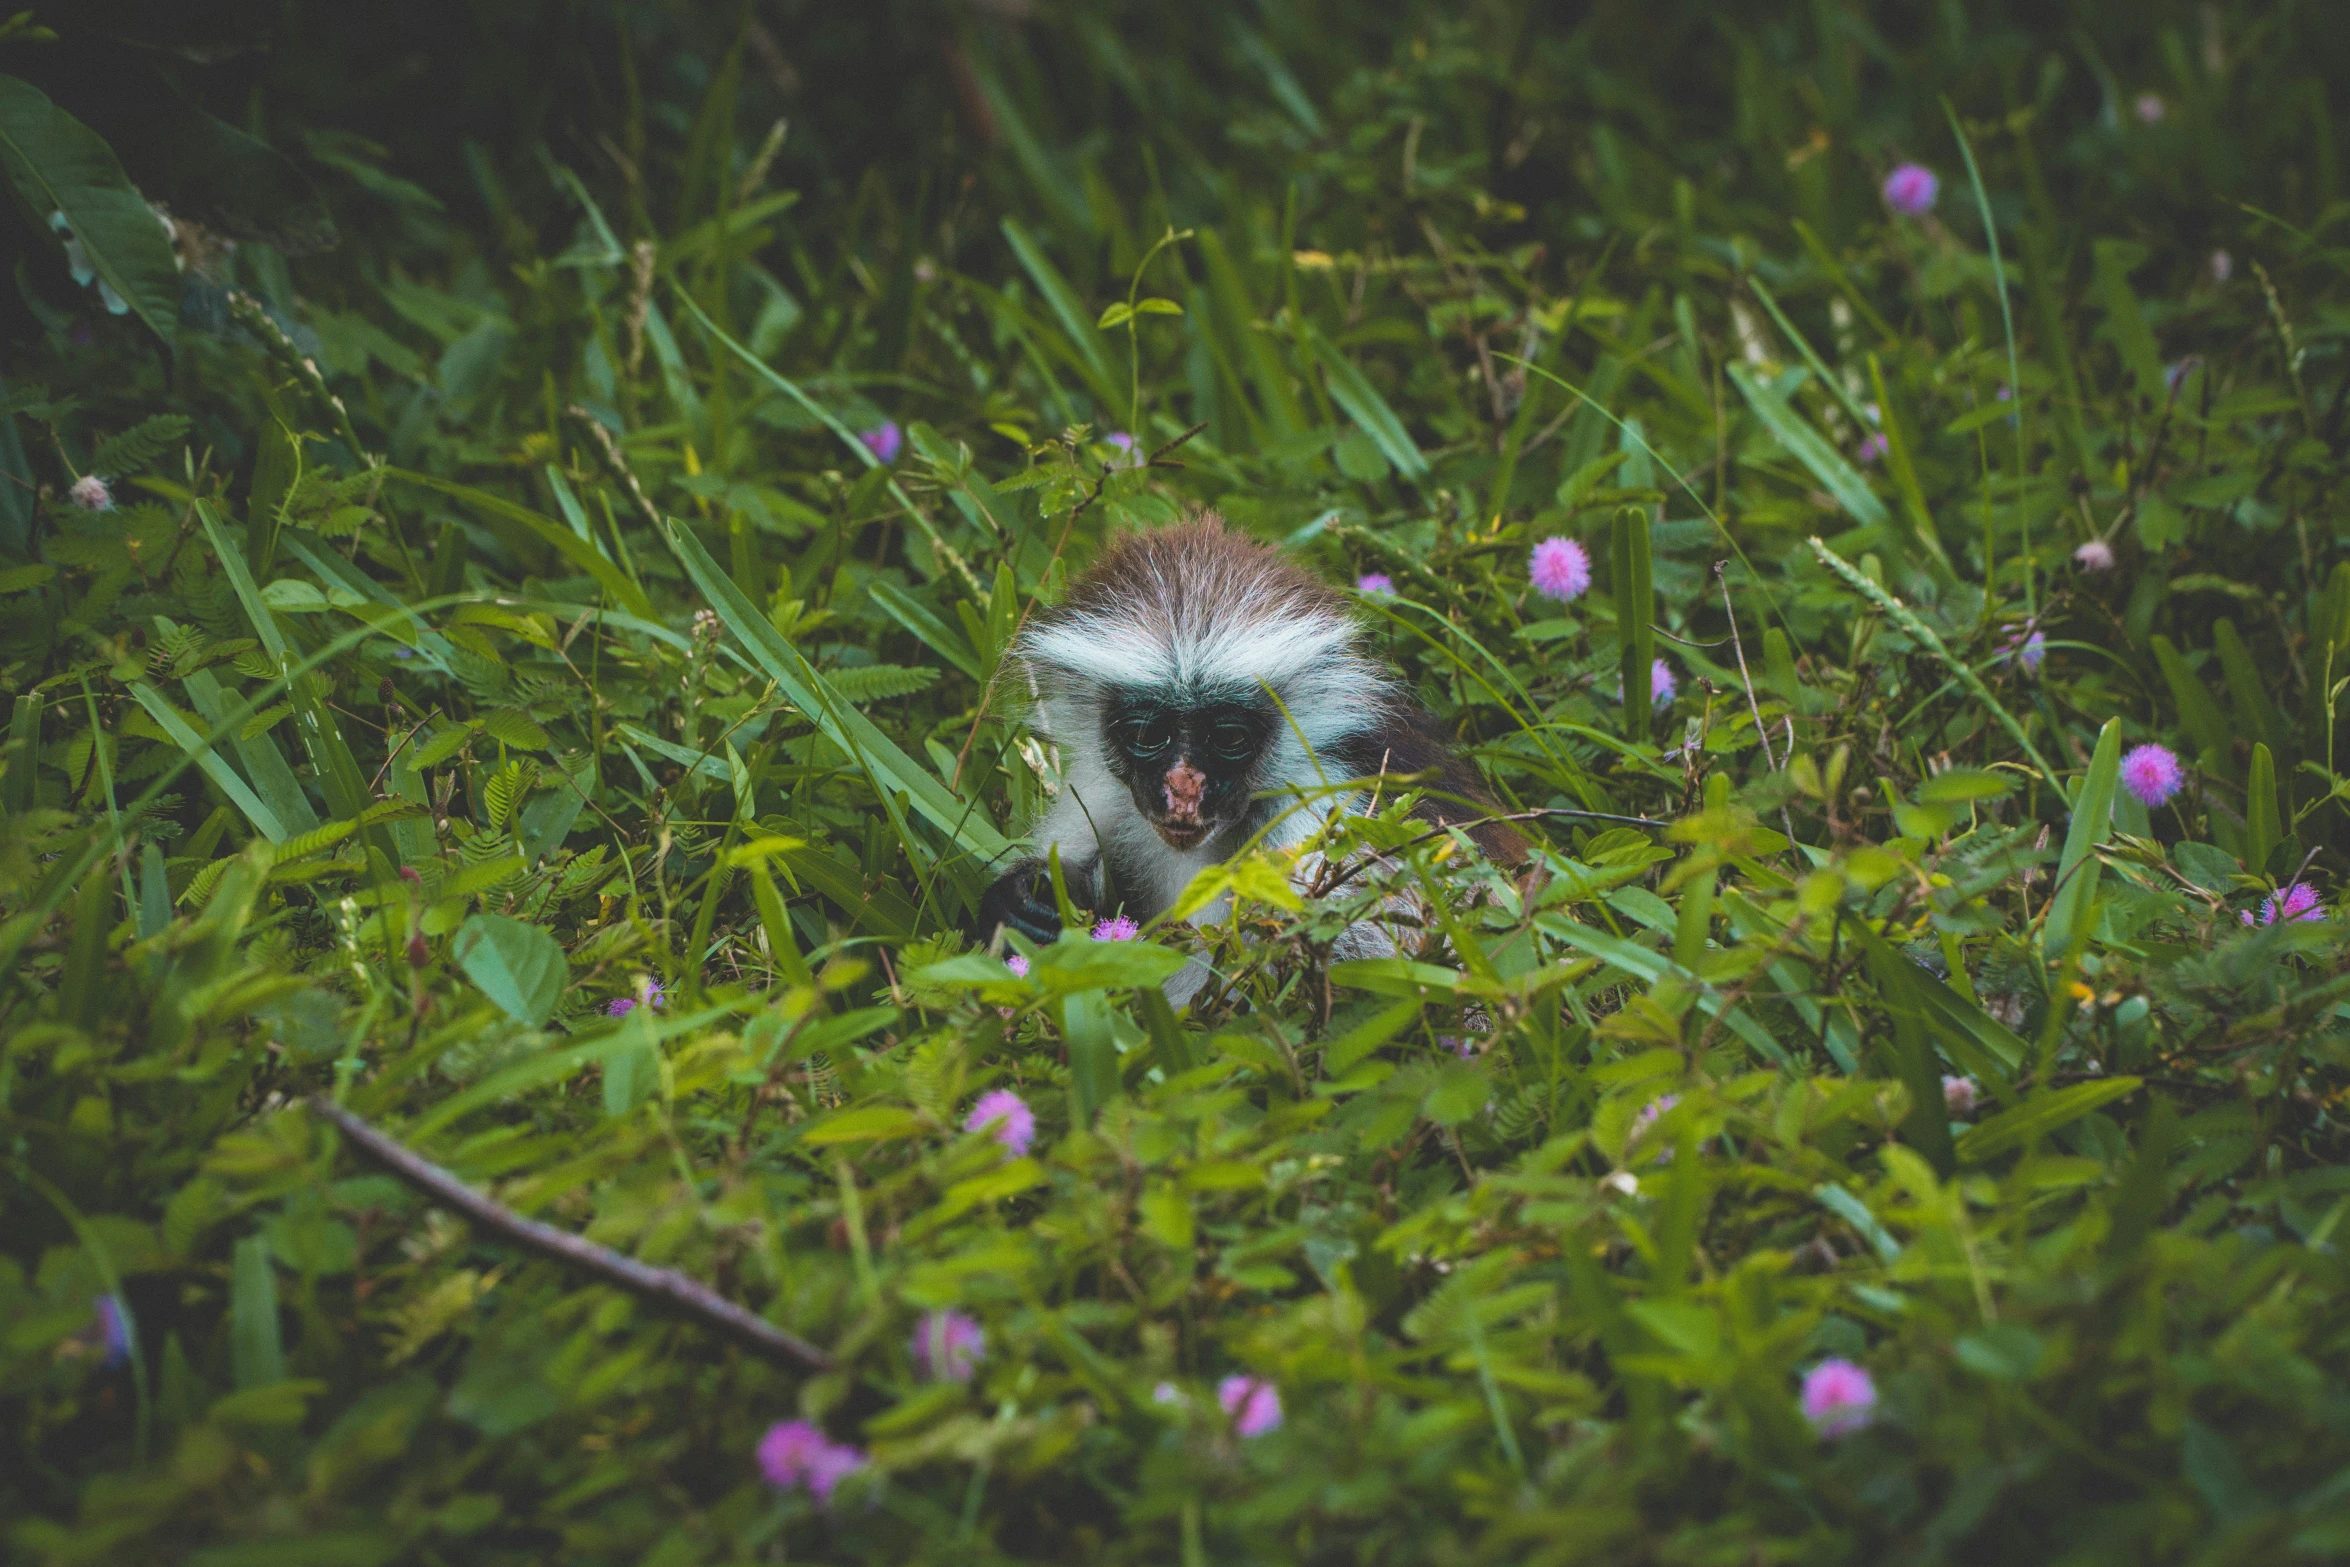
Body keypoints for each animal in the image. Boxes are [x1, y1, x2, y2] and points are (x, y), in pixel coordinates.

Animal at [968, 514, 1522, 982]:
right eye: (1147, 735)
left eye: (1229, 738)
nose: (1183, 791)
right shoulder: (1105, 788)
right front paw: (1025, 901)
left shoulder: (1317, 824)